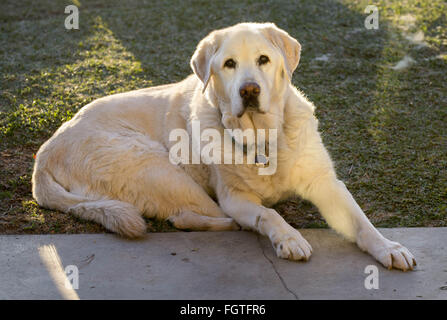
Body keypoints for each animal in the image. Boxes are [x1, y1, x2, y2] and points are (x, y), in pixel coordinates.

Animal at [32, 21, 416, 270]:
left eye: (263, 59)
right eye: (229, 64)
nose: (249, 90)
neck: (261, 137)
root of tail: (44, 154)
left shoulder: (327, 183)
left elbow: (361, 222)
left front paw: (389, 247)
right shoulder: (235, 196)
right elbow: (268, 213)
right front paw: (289, 237)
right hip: (159, 167)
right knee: (185, 215)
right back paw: (233, 224)